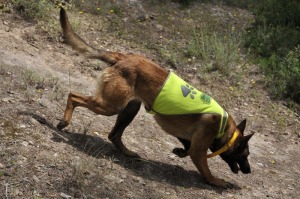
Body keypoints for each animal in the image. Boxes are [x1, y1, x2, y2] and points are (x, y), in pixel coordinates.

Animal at [56, 7, 253, 188]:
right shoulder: (199, 150)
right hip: (110, 106)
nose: (248, 170)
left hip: (129, 109)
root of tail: (123, 57)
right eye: (245, 155)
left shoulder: (188, 138)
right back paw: (64, 122)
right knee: (73, 96)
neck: (224, 128)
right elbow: (205, 168)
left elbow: (186, 148)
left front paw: (179, 151)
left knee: (114, 135)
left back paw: (127, 152)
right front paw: (217, 181)